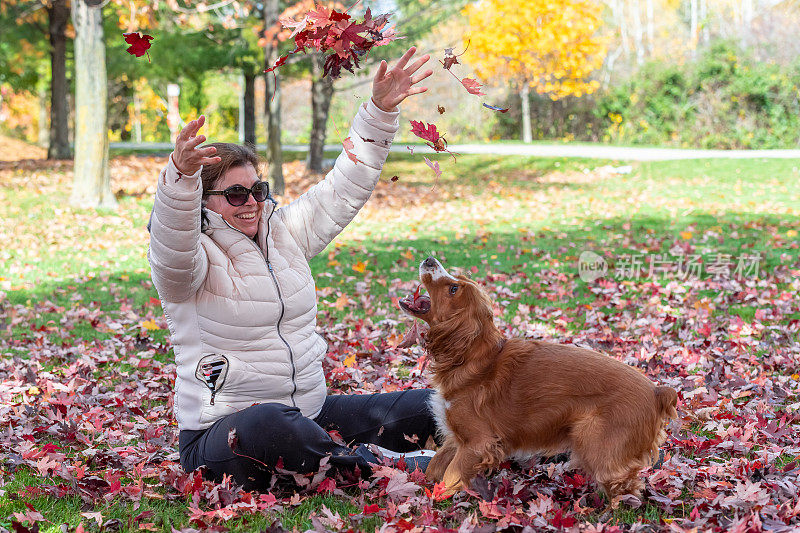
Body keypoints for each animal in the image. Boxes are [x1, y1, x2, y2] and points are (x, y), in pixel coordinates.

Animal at [398, 256, 676, 498]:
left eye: (454, 288)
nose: (430, 259)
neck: (471, 355)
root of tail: (657, 392)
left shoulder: (478, 442)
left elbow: (450, 478)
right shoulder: (457, 438)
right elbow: (435, 465)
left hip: (595, 442)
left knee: (627, 487)